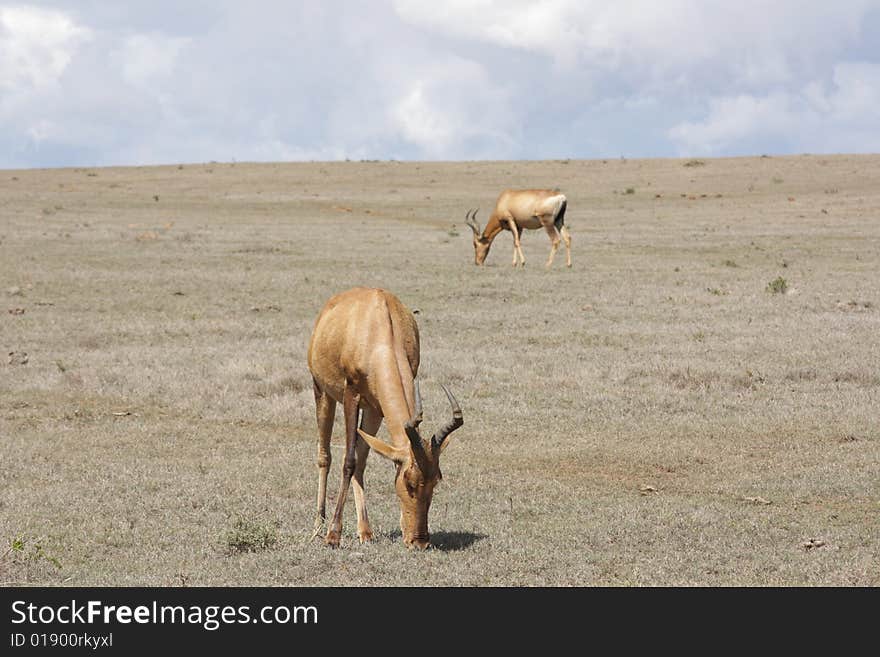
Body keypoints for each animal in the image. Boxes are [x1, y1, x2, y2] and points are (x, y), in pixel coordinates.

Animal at [306, 288, 464, 548]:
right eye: (410, 482)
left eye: (436, 480)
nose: (420, 541)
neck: (379, 328)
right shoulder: (351, 395)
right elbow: (348, 461)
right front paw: (333, 535)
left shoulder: (376, 408)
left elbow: (362, 459)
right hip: (322, 391)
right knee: (324, 455)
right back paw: (319, 526)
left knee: (360, 457)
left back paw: (364, 530)